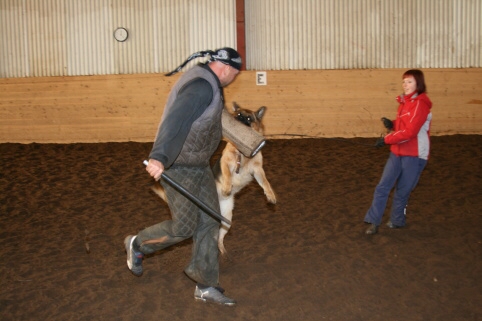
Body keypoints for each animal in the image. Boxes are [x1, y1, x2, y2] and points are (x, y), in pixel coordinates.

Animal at [213, 102, 276, 252]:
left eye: (248, 119)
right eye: (238, 115)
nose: (239, 120)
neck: (241, 154)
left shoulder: (258, 170)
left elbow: (265, 183)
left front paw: (270, 195)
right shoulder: (225, 163)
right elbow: (228, 175)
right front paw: (227, 188)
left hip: (227, 220)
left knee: (219, 237)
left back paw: (222, 249)